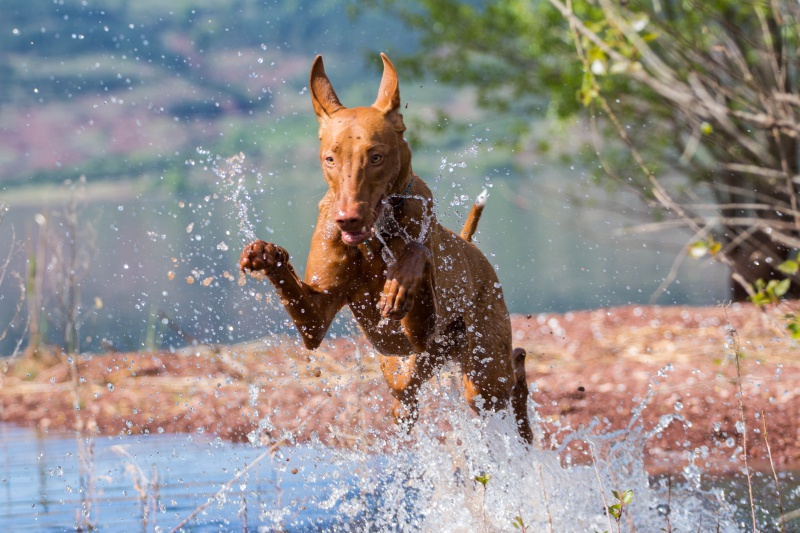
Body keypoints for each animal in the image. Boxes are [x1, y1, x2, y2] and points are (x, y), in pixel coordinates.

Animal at [241, 52, 536, 442]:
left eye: (376, 157)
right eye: (330, 158)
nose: (348, 219)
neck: (374, 240)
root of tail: (472, 248)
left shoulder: (424, 329)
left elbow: (418, 253)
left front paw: (398, 285)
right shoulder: (315, 320)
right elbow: (301, 300)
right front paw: (266, 255)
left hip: (482, 371)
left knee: (512, 372)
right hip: (406, 375)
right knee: (407, 400)